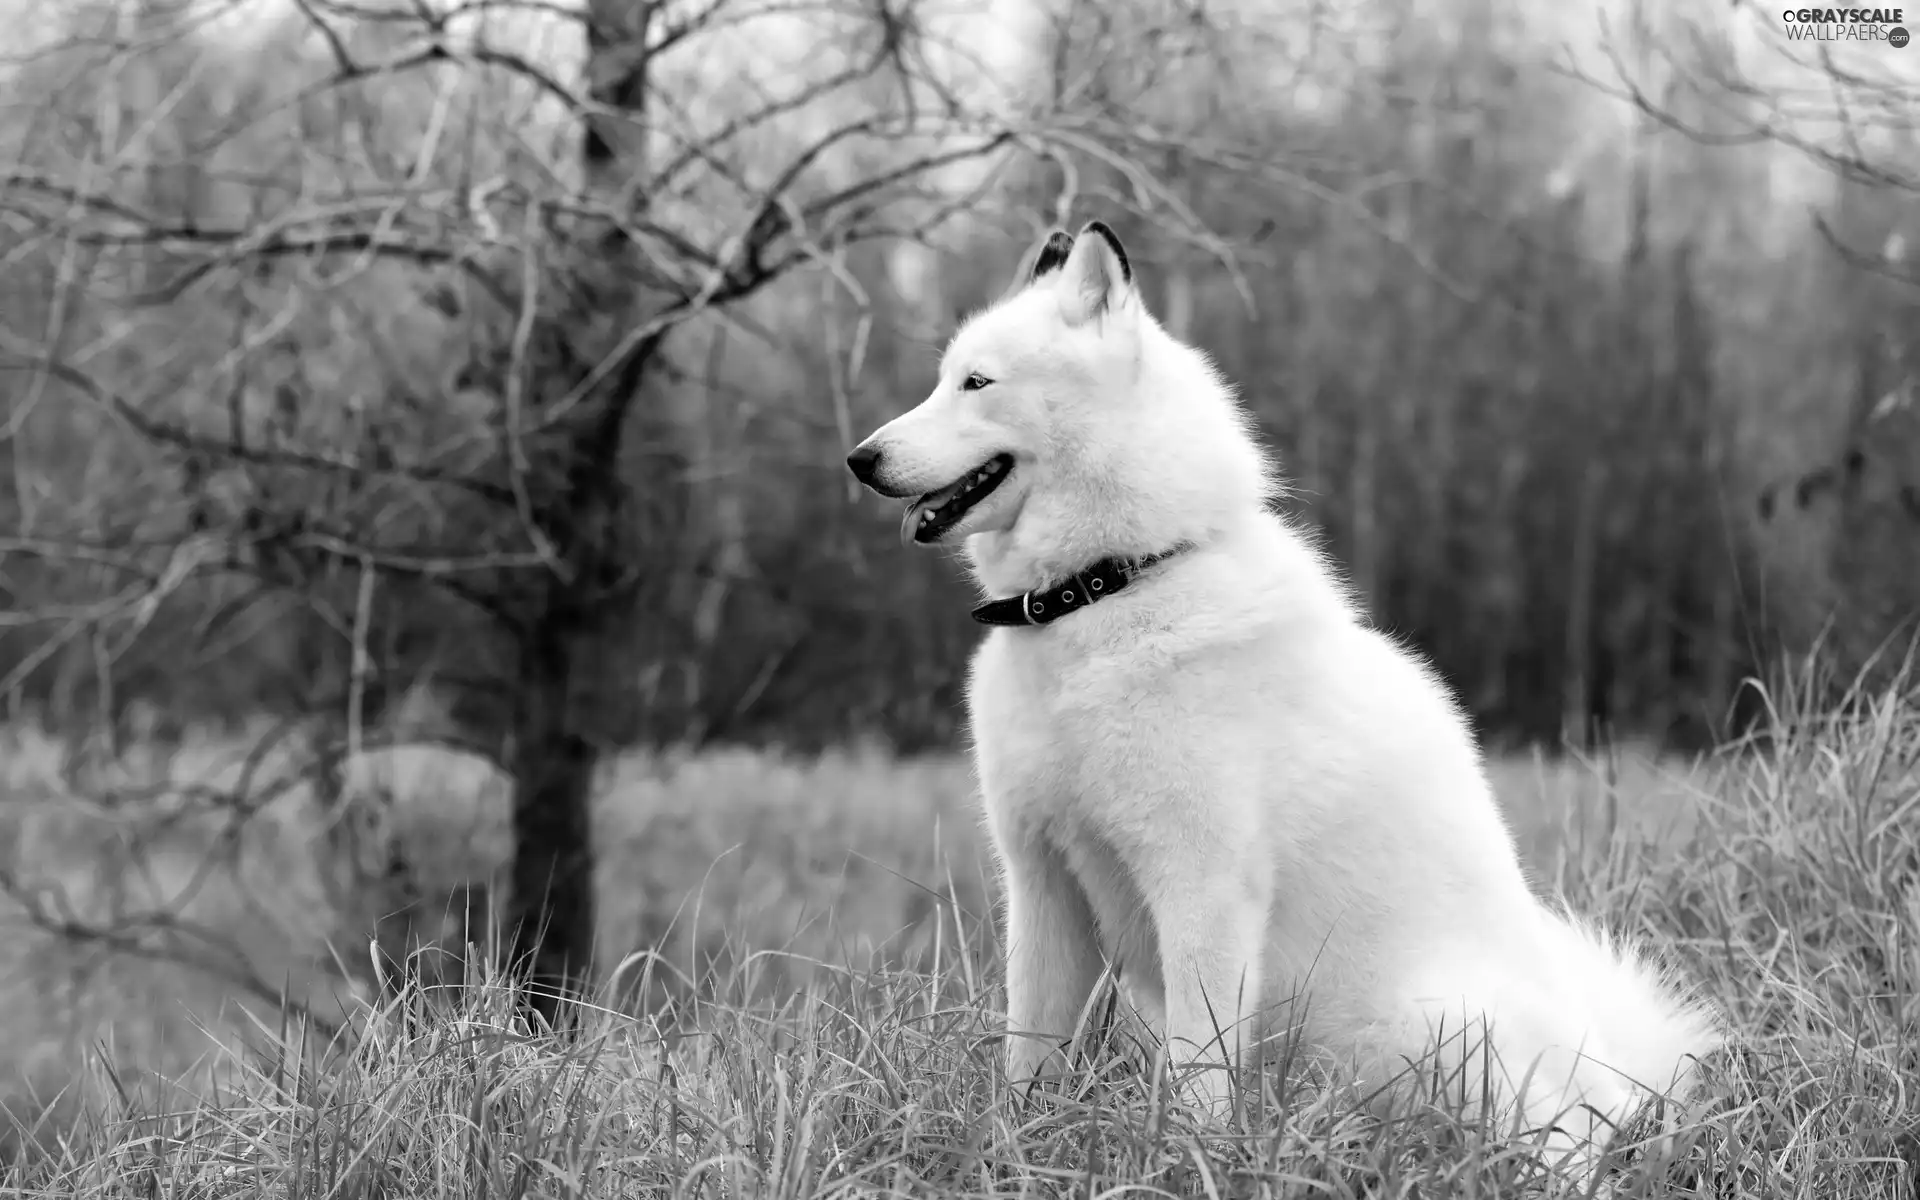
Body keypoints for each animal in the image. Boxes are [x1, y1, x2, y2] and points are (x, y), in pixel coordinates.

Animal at [848, 219, 1720, 1167]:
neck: (1105, 591)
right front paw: (1014, 1154)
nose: (859, 459)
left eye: (977, 382)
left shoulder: (1202, 890)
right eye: (943, 378)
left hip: (1436, 1027)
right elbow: (1028, 1061)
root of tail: (1618, 1080)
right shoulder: (1045, 886)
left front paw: (1187, 1163)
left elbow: (1199, 1074)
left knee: (1558, 1145)